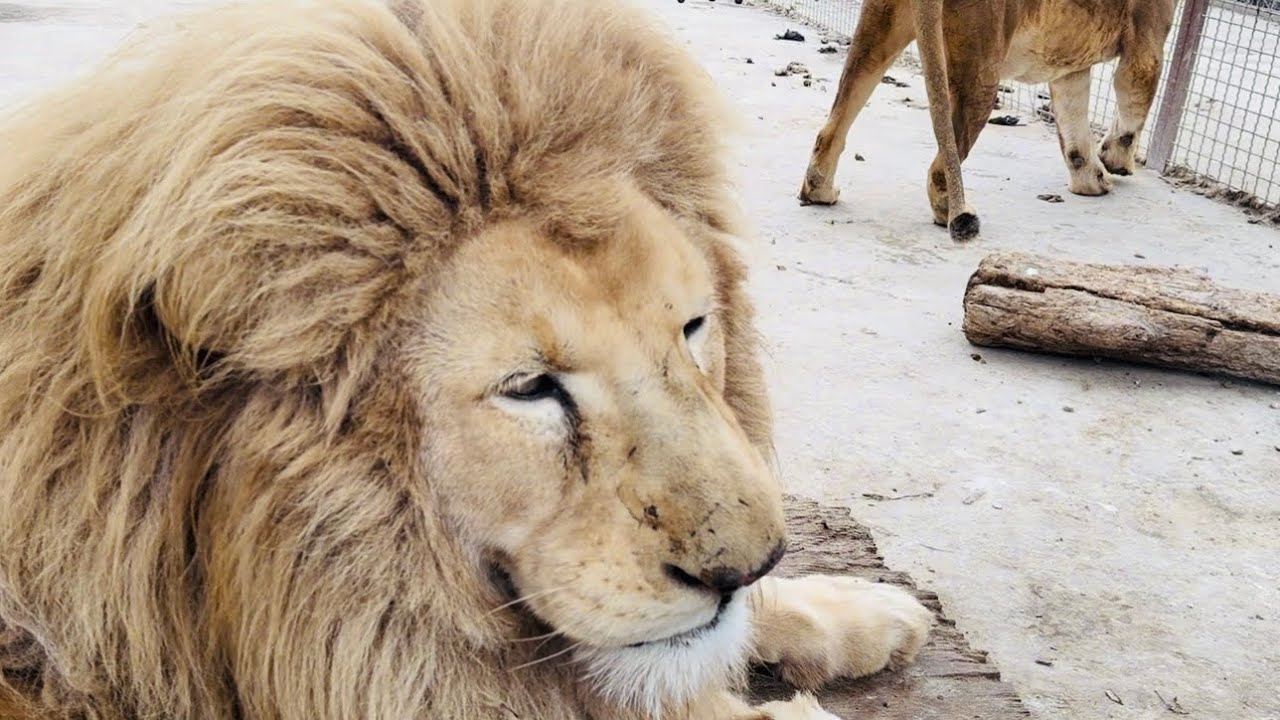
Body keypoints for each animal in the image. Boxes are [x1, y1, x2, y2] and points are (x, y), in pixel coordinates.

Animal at [799, 0, 1176, 241]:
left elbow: (1074, 127)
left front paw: (1091, 181)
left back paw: (819, 190)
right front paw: (1116, 161)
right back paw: (951, 212)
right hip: (982, 70)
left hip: (878, 32)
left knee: (834, 124)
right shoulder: (1147, 42)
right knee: (941, 166)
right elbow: (1135, 103)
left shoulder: (1071, 67)